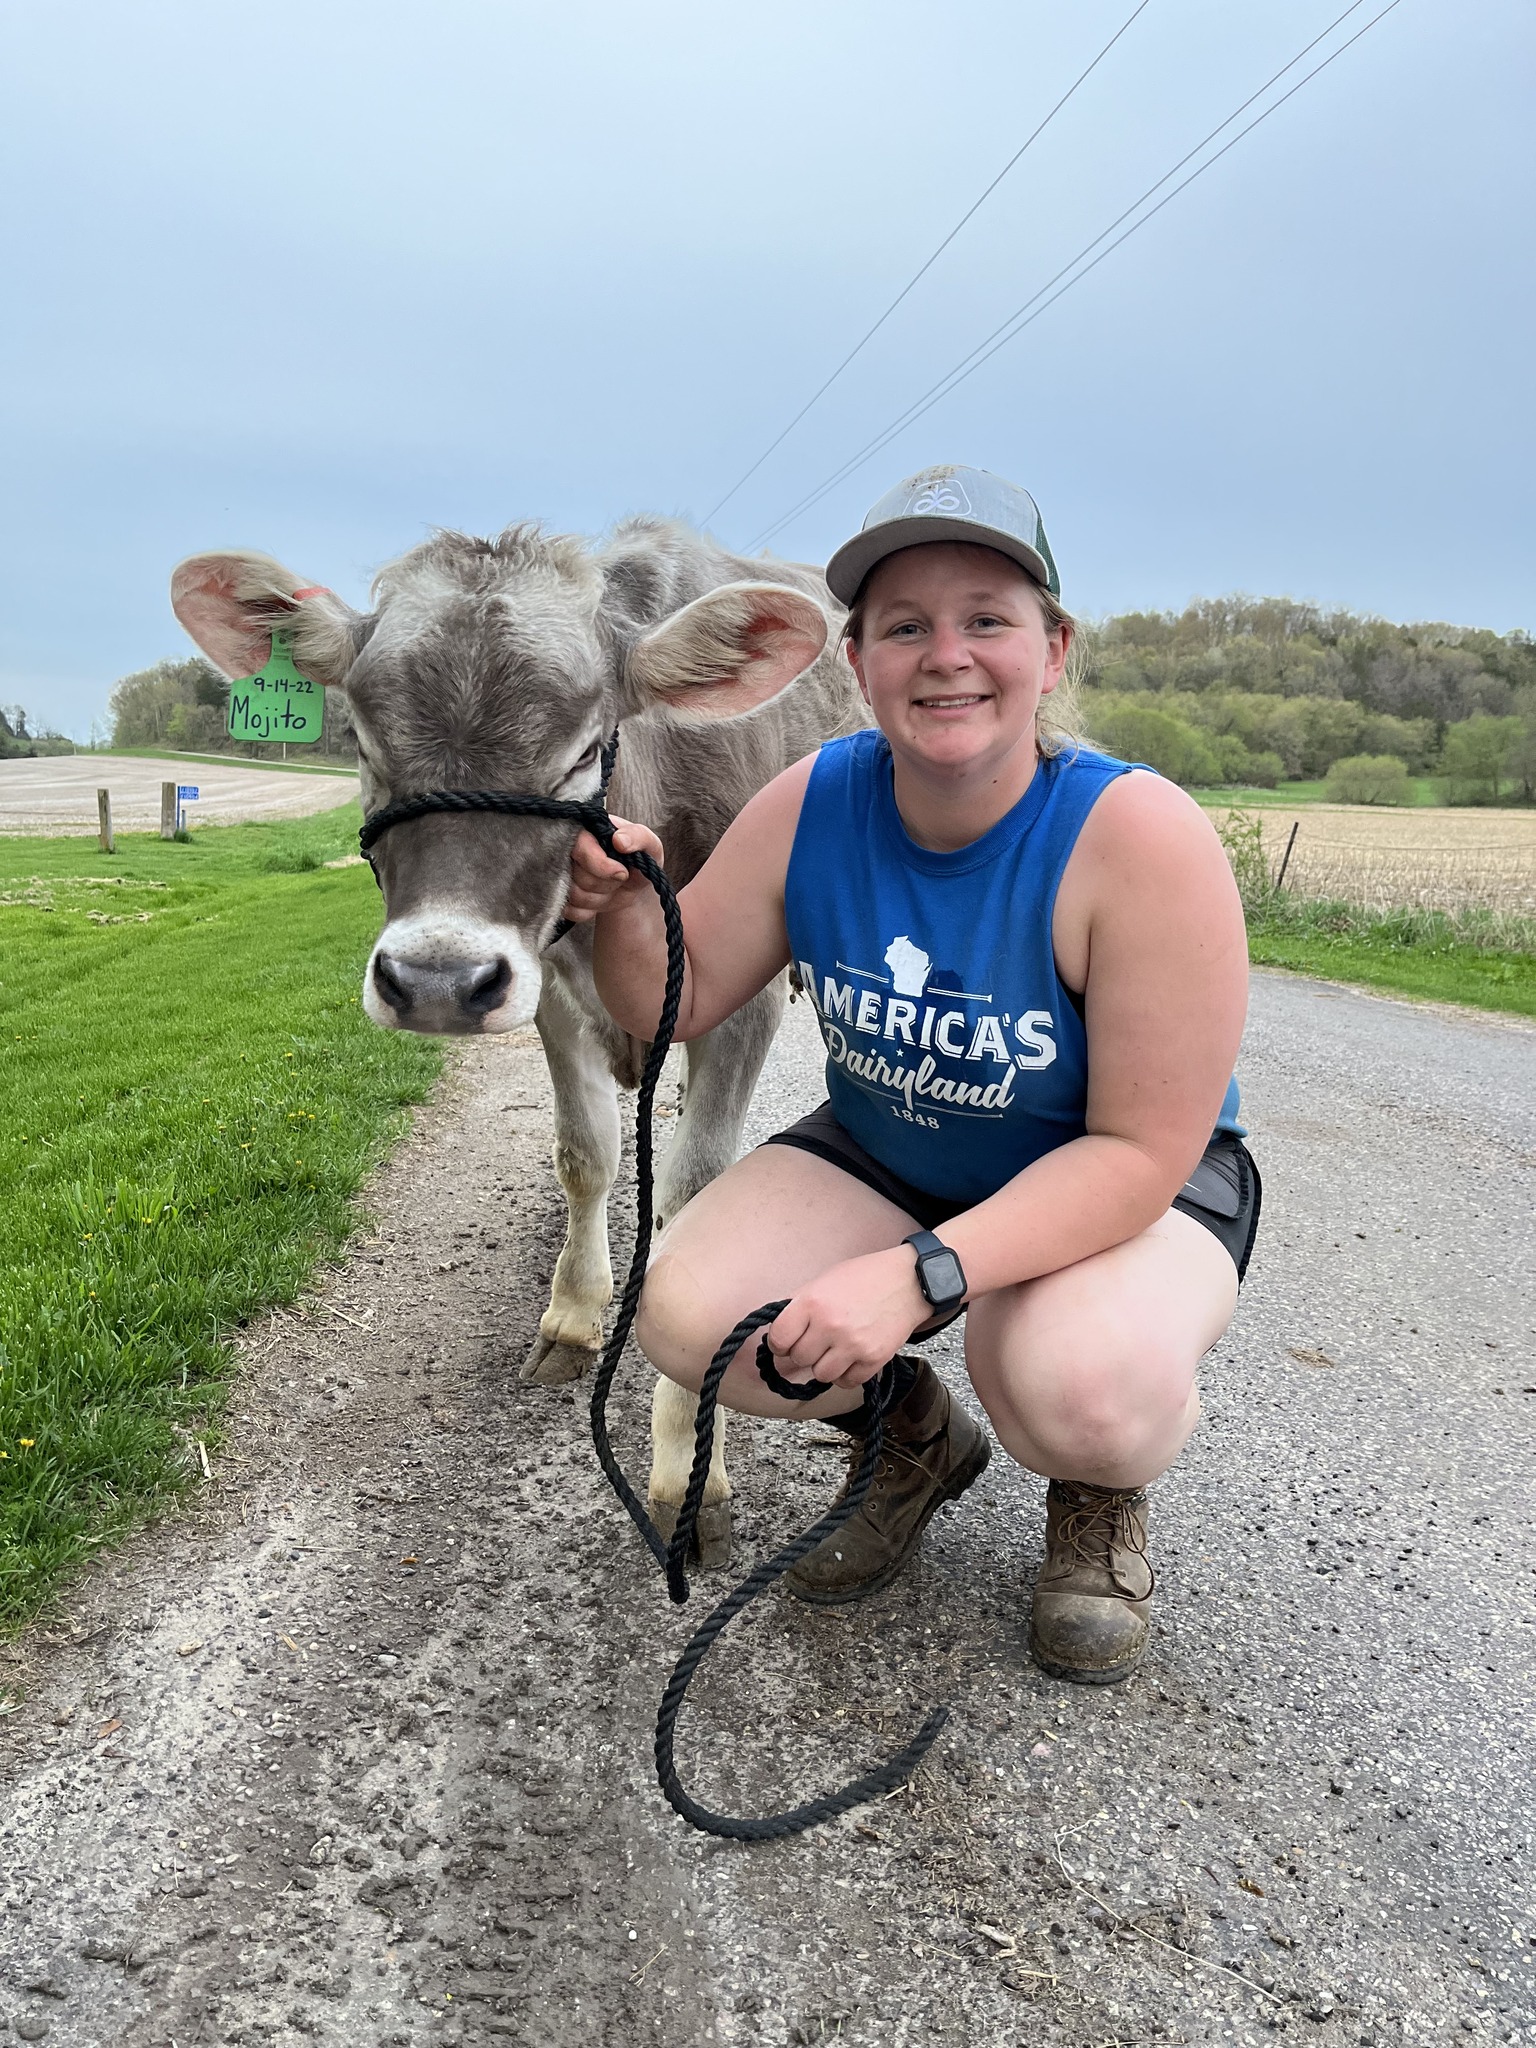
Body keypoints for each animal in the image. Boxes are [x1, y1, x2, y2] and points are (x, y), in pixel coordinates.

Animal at [171, 517, 866, 1564]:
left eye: (580, 753)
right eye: (364, 743)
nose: (435, 981)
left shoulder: (742, 1005)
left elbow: (697, 1199)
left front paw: (684, 1471)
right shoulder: (547, 988)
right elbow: (585, 1155)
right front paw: (577, 1314)